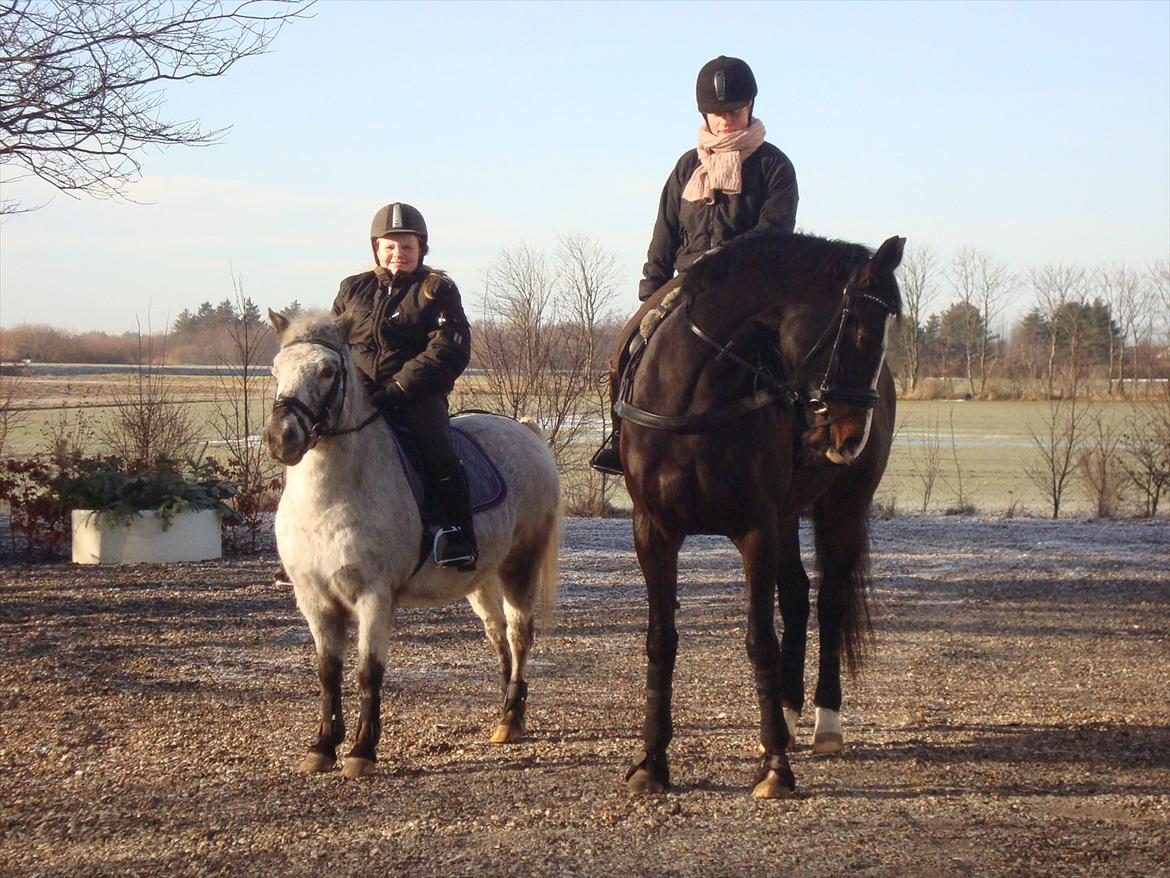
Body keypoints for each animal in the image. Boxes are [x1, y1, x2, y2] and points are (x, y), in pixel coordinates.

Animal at [263, 310, 561, 778]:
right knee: (497, 636)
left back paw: (511, 719)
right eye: (276, 370)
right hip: (480, 577)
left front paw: (361, 752)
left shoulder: (374, 597)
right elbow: (328, 673)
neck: (331, 498)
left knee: (518, 635)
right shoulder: (315, 600)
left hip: (520, 565)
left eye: (328, 371)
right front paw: (323, 746)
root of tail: (527, 432)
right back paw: (504, 712)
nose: (282, 438)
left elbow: (368, 673)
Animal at [614, 231, 904, 798]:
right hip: (790, 518)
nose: (850, 438)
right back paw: (788, 715)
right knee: (795, 596)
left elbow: (760, 640)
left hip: (844, 506)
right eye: (860, 332)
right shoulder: (653, 533)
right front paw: (652, 760)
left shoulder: (755, 531)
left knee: (829, 602)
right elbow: (661, 640)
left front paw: (775, 768)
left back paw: (824, 722)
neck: (693, 398)